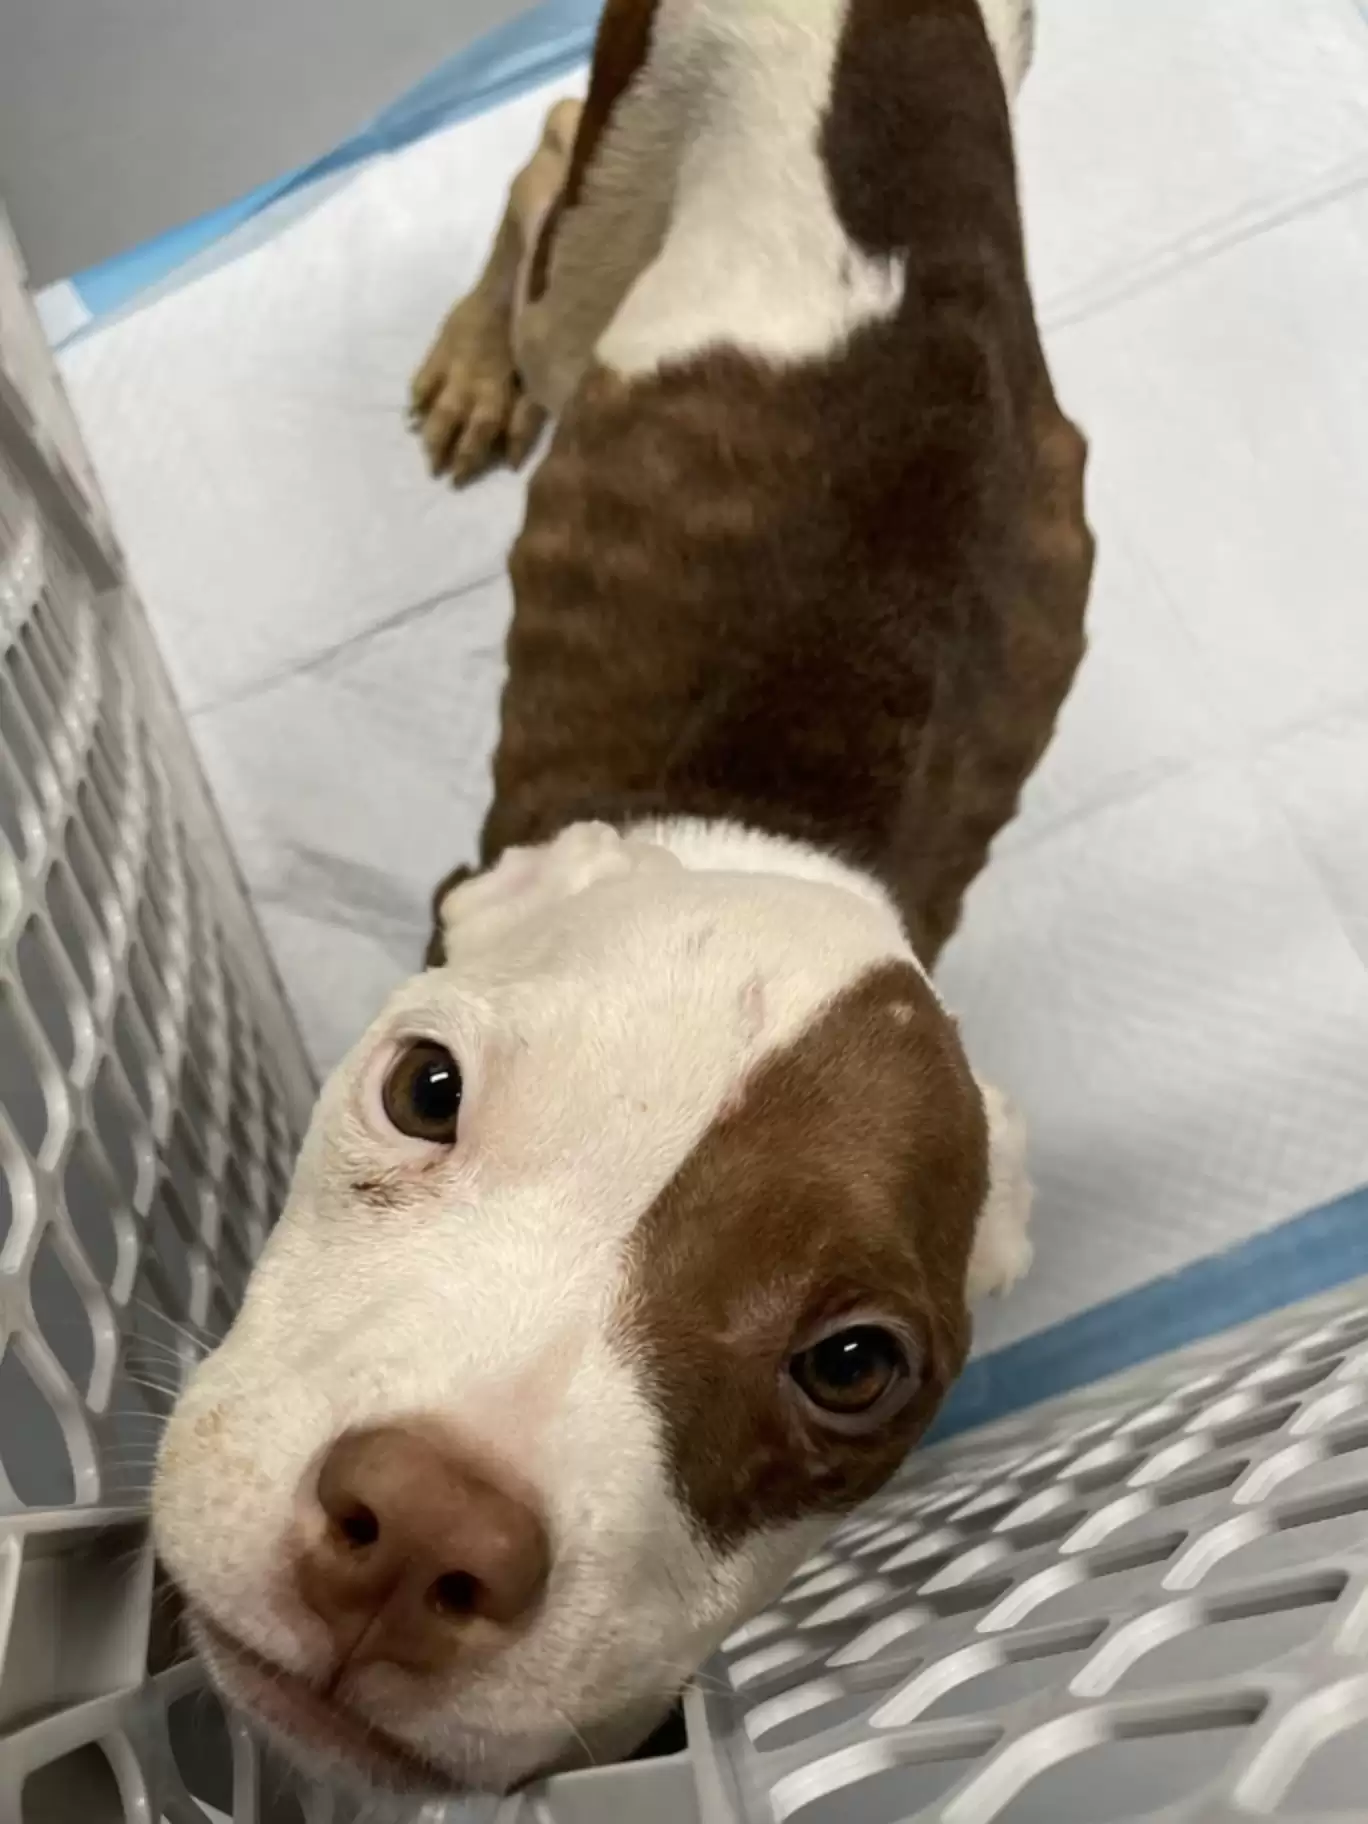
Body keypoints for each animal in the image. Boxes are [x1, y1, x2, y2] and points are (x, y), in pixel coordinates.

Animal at [152, 0, 1094, 1794]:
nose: (421, 1531)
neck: (797, 834)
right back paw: (476, 364)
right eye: (424, 1088)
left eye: (851, 1365)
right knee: (539, 184)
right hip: (614, 193)